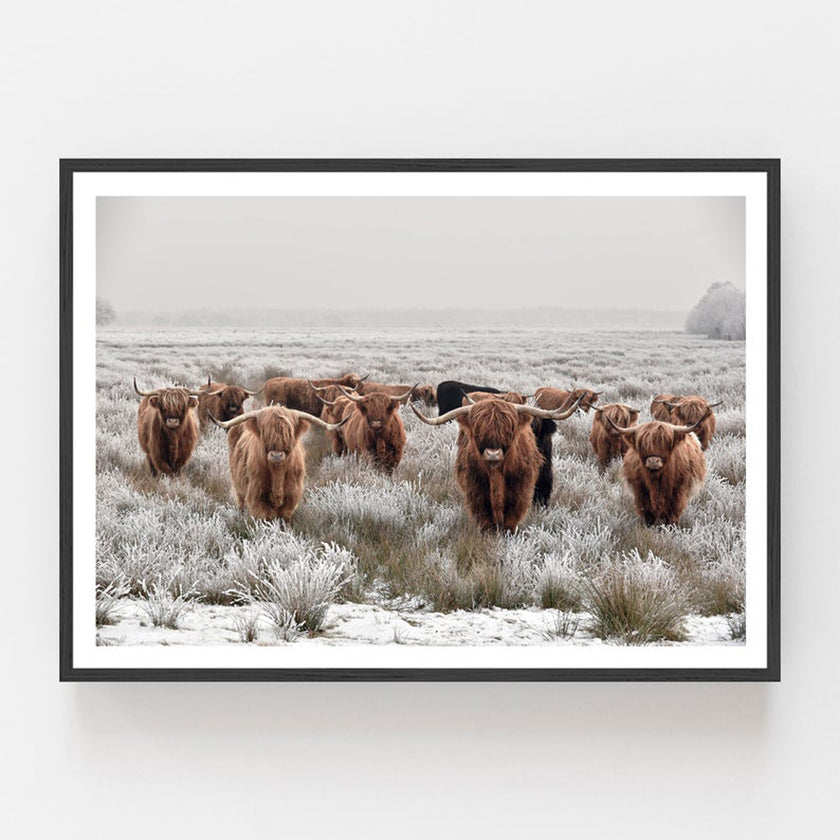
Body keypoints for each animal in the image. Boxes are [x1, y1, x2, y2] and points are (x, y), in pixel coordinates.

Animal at [210, 405, 347, 521]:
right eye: (265, 433)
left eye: (289, 433)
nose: (276, 455)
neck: (277, 473)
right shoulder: (256, 495)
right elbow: (264, 519)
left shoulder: (291, 496)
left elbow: (284, 519)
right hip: (238, 486)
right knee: (241, 503)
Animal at [410, 394, 584, 531]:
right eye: (478, 430)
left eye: (510, 429)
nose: (493, 454)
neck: (496, 474)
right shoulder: (476, 490)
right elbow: (485, 520)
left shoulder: (520, 491)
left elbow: (511, 519)